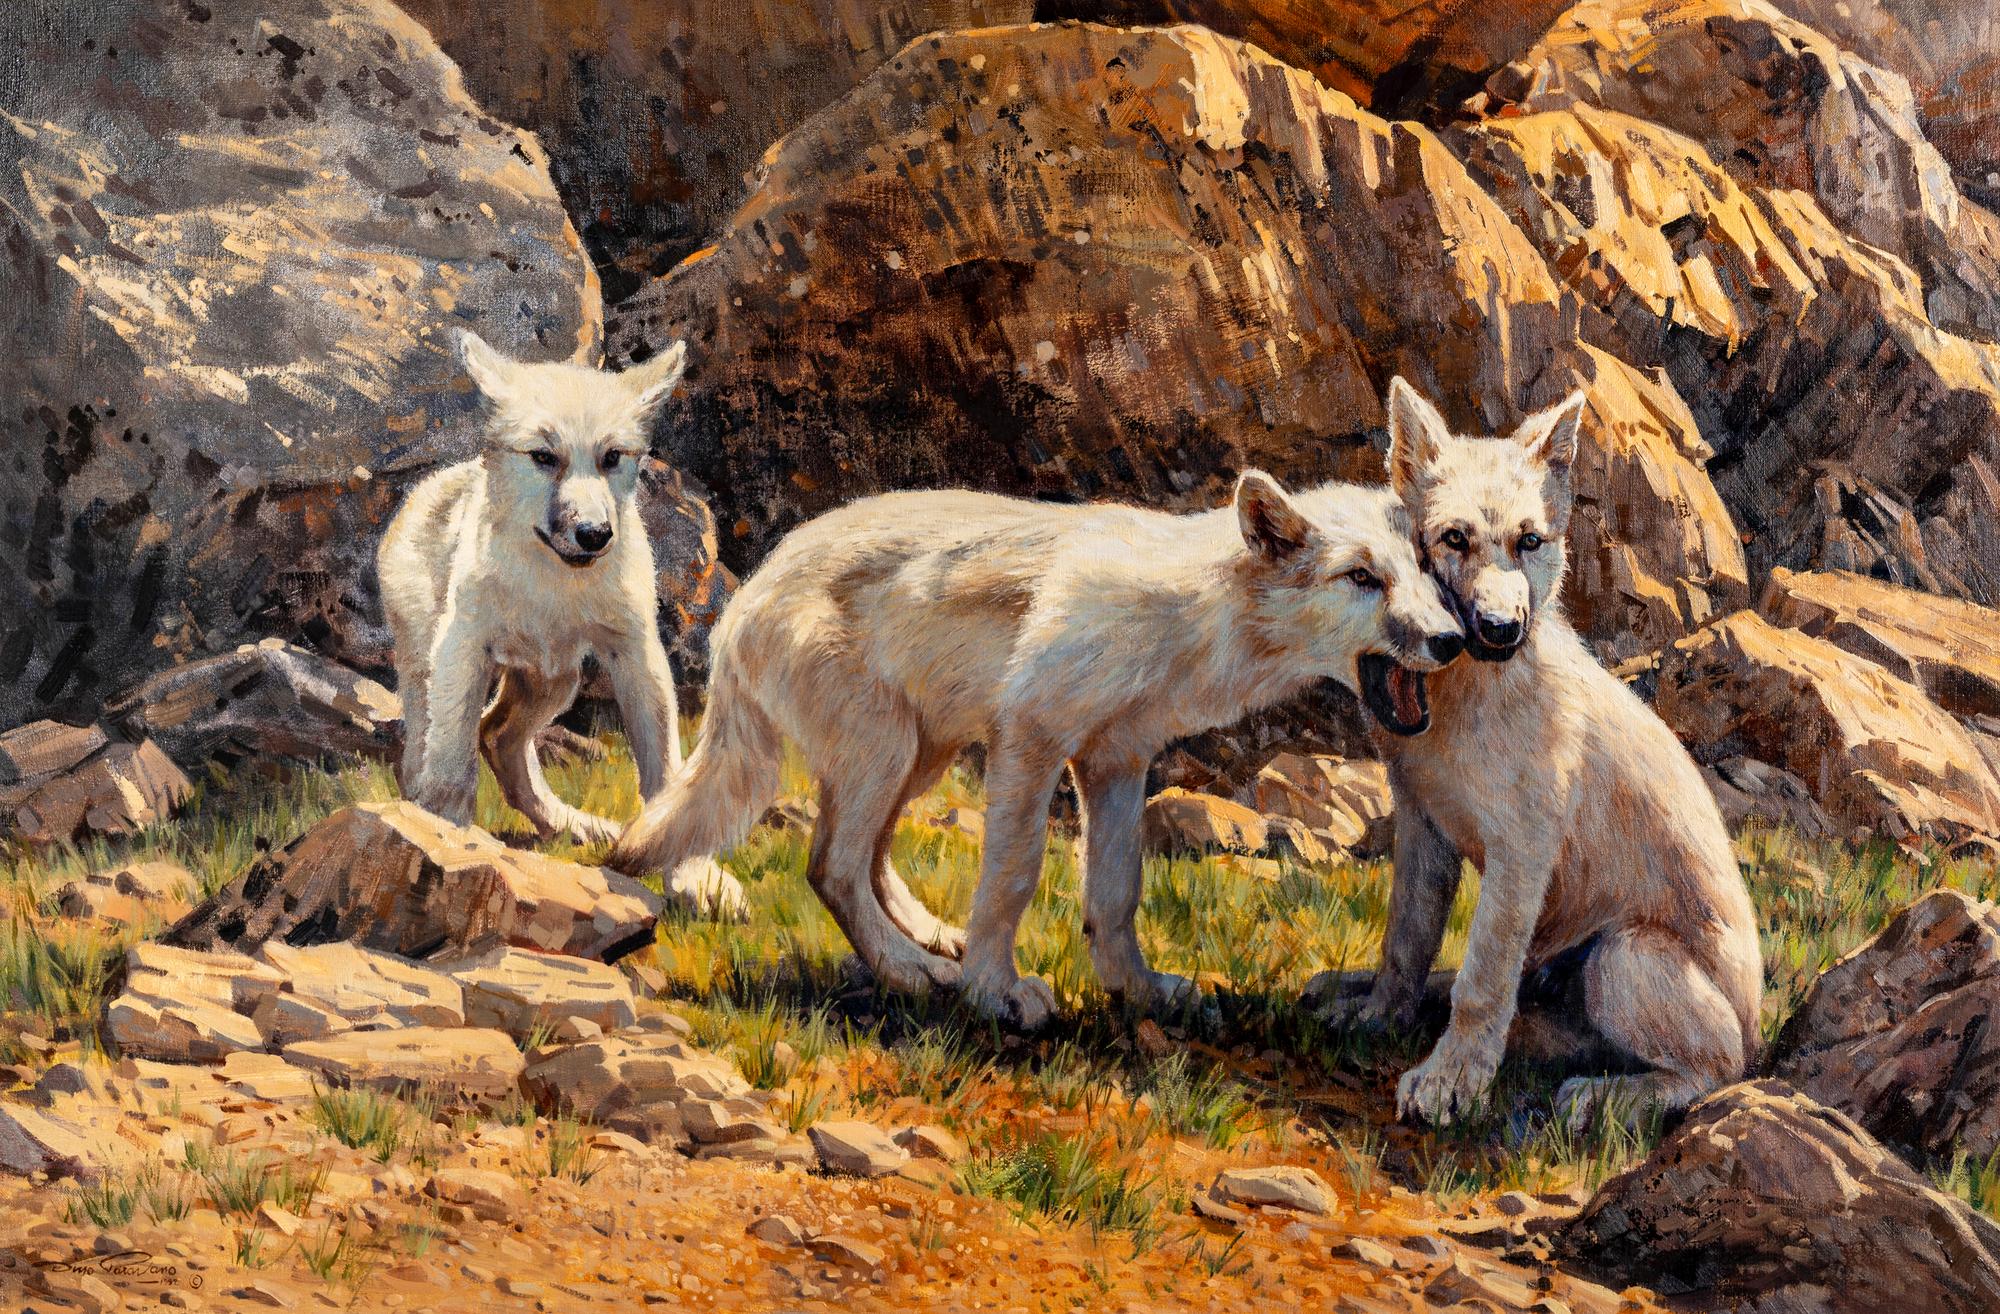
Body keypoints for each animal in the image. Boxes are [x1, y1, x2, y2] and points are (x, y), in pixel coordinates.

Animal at [377, 332, 741, 914]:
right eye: (544, 457)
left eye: (612, 457)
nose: (594, 534)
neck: (553, 584)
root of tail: (436, 480)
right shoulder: (463, 649)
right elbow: (451, 764)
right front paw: (449, 843)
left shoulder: (636, 654)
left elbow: (666, 771)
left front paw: (692, 879)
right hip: (432, 666)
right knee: (426, 754)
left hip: (554, 679)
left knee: (498, 736)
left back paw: (577, 827)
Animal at [609, 474, 1466, 1028]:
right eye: (1361, 577)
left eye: (1424, 572)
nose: (1454, 640)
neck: (1192, 614)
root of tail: (747, 596)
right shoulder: (1032, 739)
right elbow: (1013, 877)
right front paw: (995, 994)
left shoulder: (1116, 764)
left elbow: (1115, 893)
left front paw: (1137, 990)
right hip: (887, 753)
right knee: (831, 866)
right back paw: (914, 973)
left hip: (918, 758)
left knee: (867, 855)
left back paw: (930, 942)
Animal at [1353, 378, 1762, 1128]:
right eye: (1454, 539)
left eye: (1530, 541)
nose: (1502, 629)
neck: (1471, 694)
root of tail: (1759, 1032)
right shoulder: (1423, 827)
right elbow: (1407, 938)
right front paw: (1380, 1014)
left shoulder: (1522, 852)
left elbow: (1482, 979)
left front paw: (1450, 1082)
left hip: (1625, 959)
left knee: (1713, 1070)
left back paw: (1611, 1096)